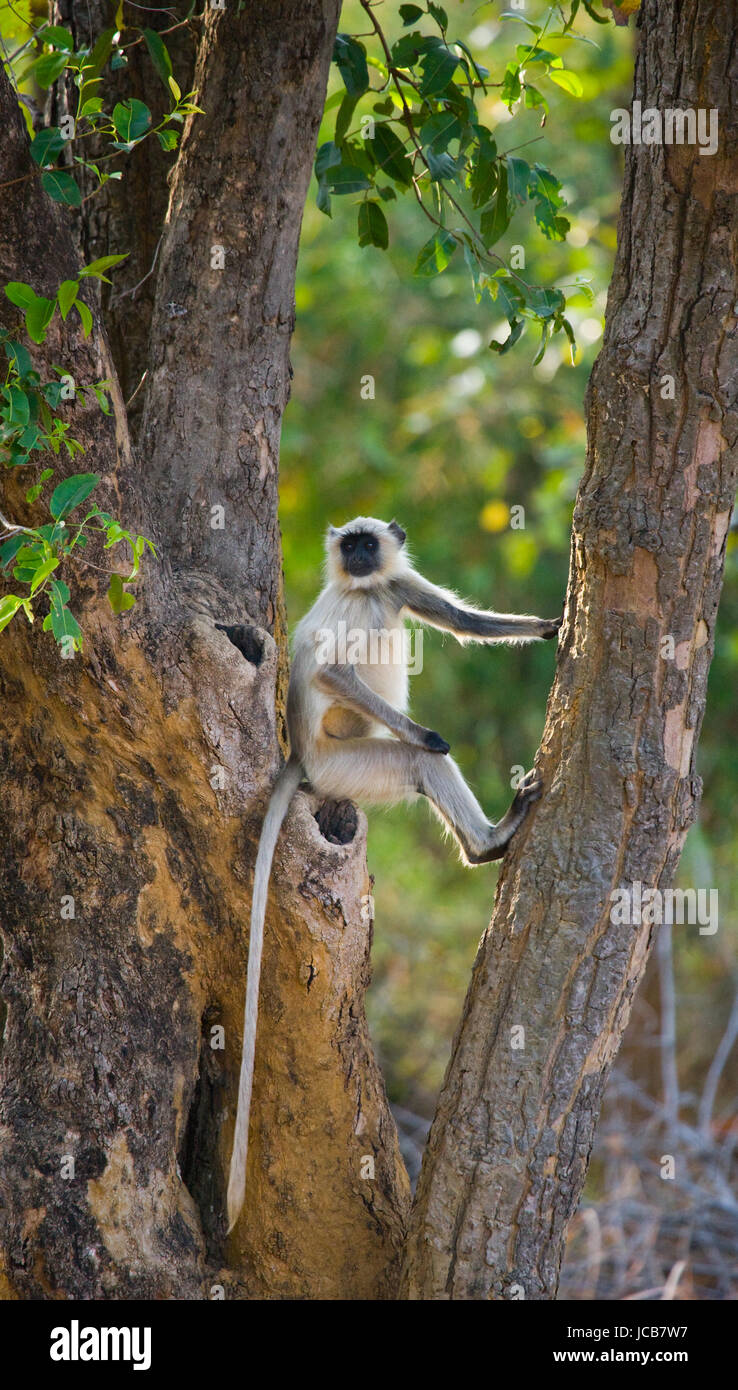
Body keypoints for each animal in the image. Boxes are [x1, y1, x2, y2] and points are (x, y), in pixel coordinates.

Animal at [225, 519, 561, 1228]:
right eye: (346, 544)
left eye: (365, 543)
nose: (354, 558)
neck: (365, 590)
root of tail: (301, 758)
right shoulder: (356, 609)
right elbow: (332, 668)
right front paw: (431, 734)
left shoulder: (394, 583)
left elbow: (462, 621)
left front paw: (551, 625)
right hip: (350, 765)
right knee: (409, 759)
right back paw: (488, 841)